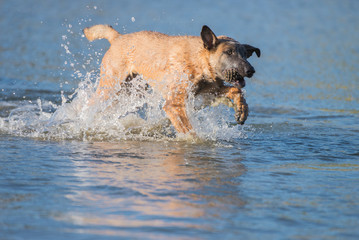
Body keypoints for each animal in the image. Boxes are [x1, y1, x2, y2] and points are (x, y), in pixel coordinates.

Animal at [83, 24, 260, 135]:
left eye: (245, 55)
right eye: (229, 52)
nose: (250, 70)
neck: (198, 61)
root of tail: (118, 38)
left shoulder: (210, 91)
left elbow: (235, 90)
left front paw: (241, 111)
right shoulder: (173, 104)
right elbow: (188, 129)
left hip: (130, 92)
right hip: (110, 87)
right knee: (89, 105)